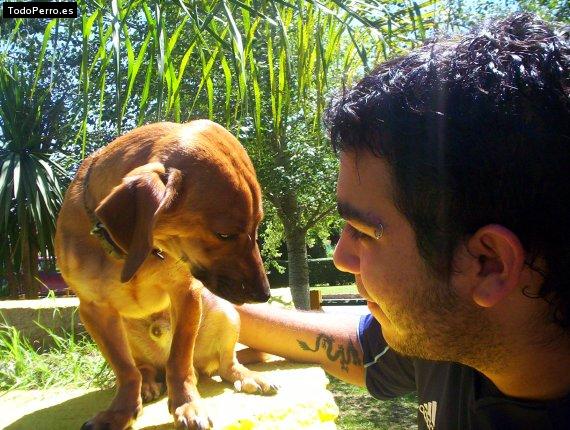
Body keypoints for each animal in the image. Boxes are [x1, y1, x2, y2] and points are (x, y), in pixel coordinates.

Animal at [54, 121, 272, 430]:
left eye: (257, 226)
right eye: (224, 234)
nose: (264, 294)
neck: (132, 255)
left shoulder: (186, 294)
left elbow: (179, 360)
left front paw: (186, 404)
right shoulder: (95, 312)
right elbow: (125, 369)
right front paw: (121, 411)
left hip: (227, 315)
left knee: (226, 364)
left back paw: (246, 376)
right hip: (124, 330)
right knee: (143, 368)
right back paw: (147, 383)